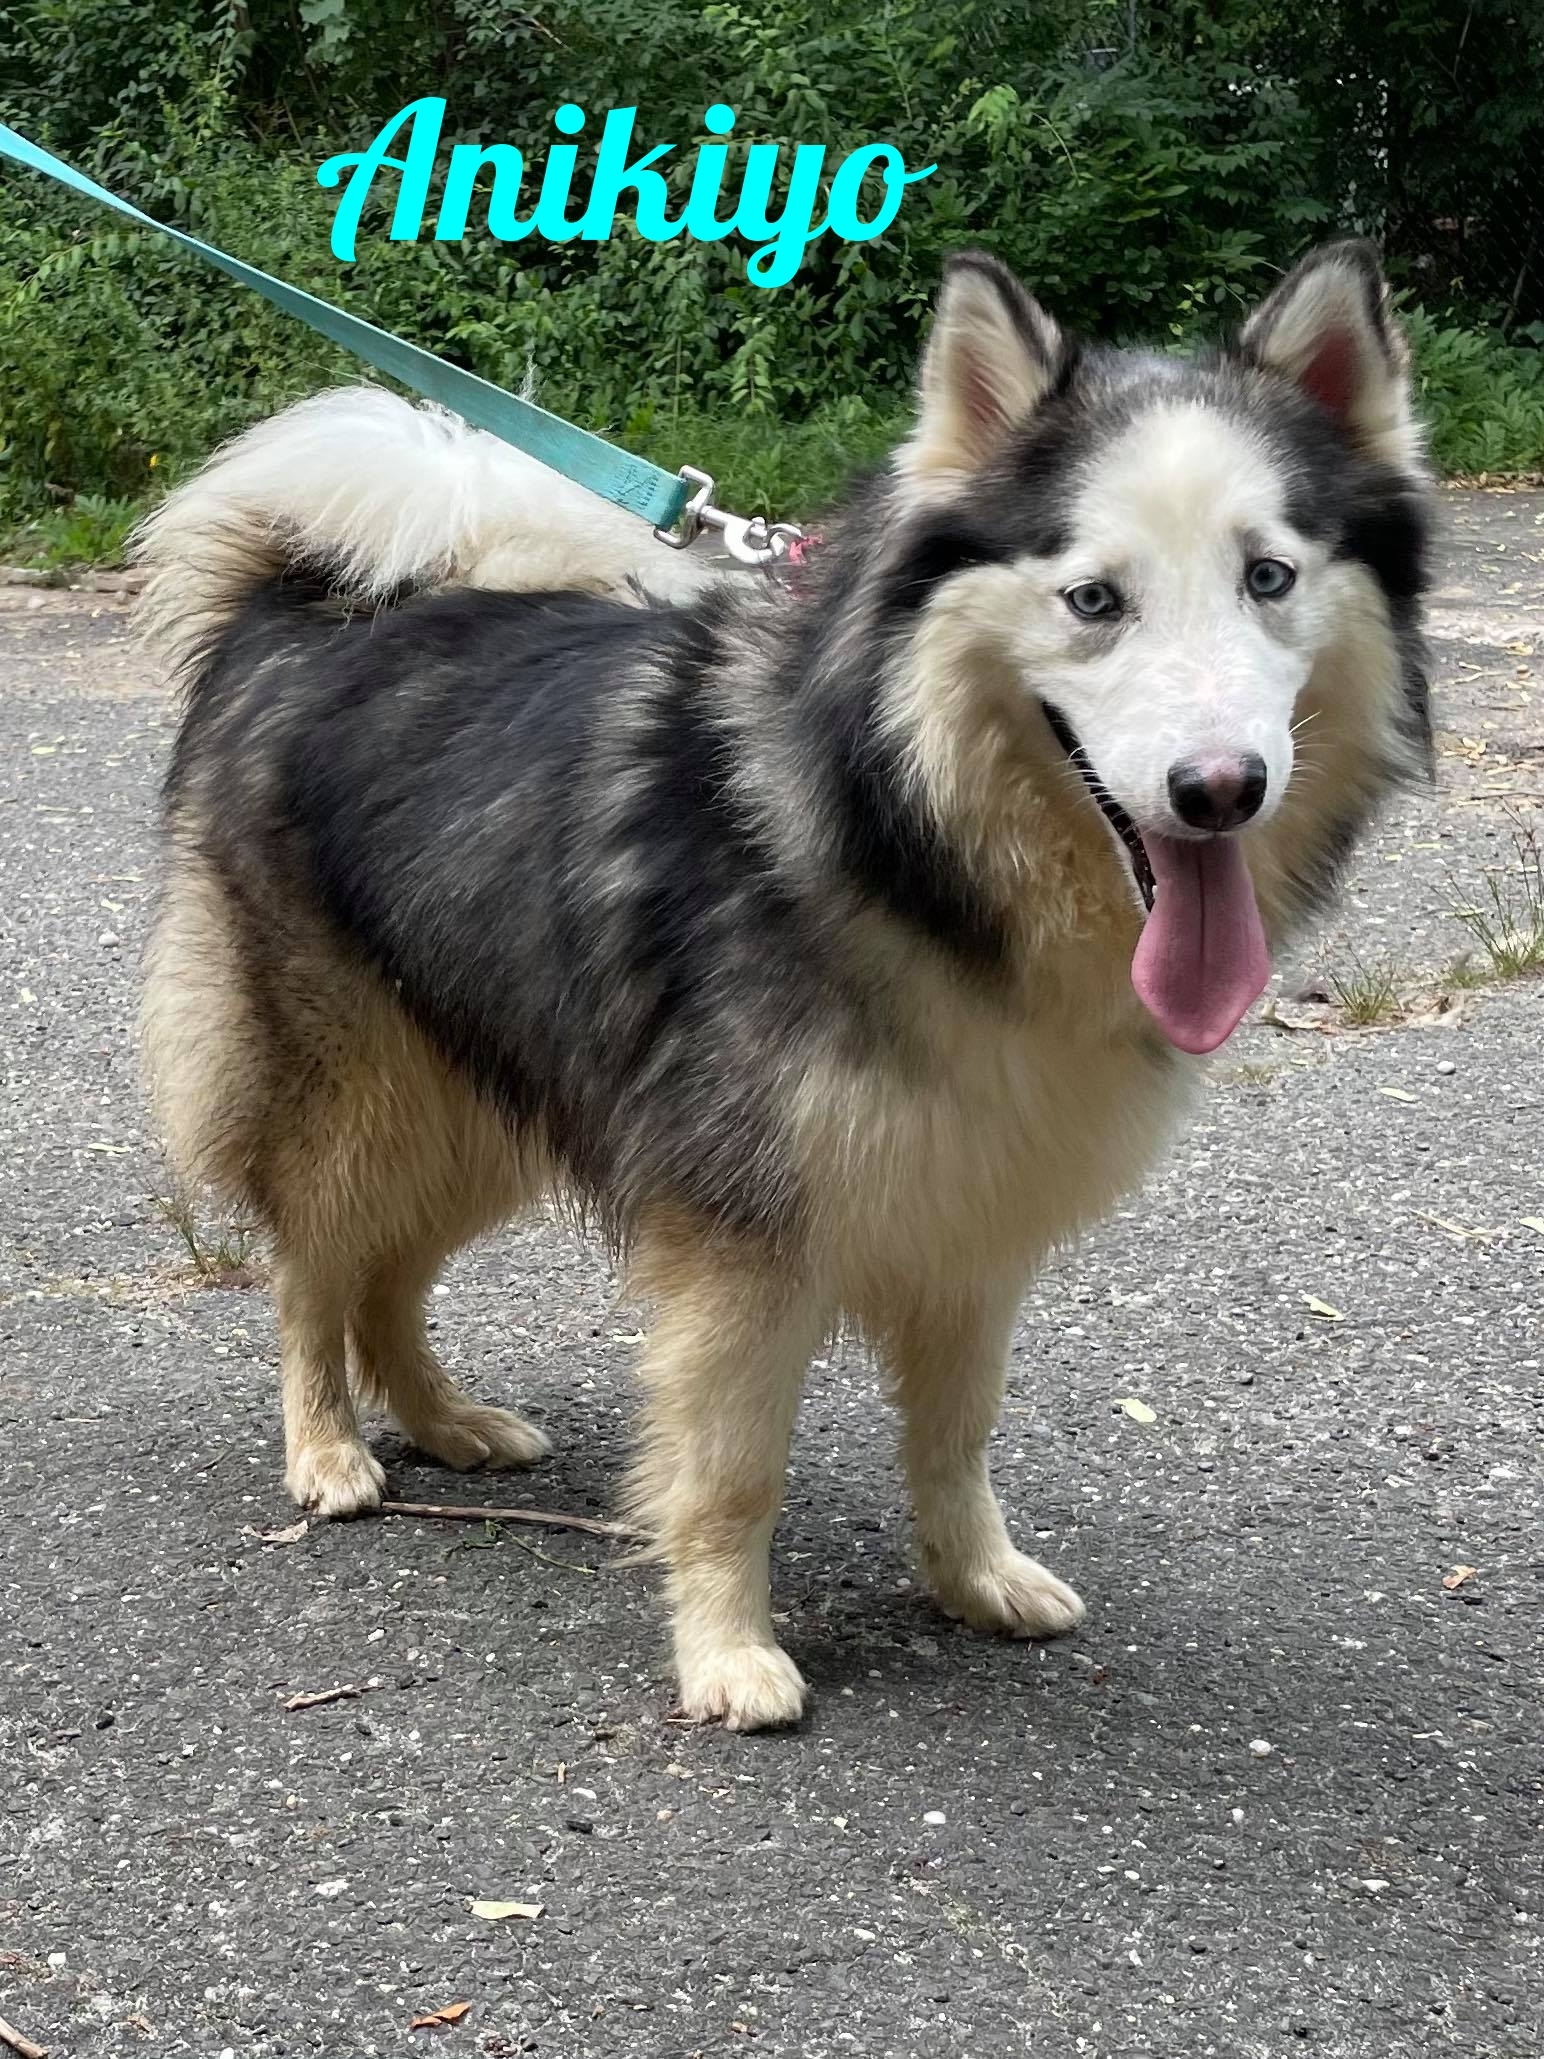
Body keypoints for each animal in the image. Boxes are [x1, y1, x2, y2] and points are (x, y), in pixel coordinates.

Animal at [138, 236, 1432, 1721]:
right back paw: (328, 1446)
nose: (1219, 789)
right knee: (314, 1263)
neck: (915, 844)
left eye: (1268, 576)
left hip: (482, 1098)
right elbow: (730, 1466)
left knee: (388, 1272)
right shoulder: (745, 1233)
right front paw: (726, 1649)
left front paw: (973, 1576)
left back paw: (445, 1418)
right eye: (1095, 599)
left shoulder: (972, 1211)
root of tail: (301, 608)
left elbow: (958, 1433)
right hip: (355, 1083)